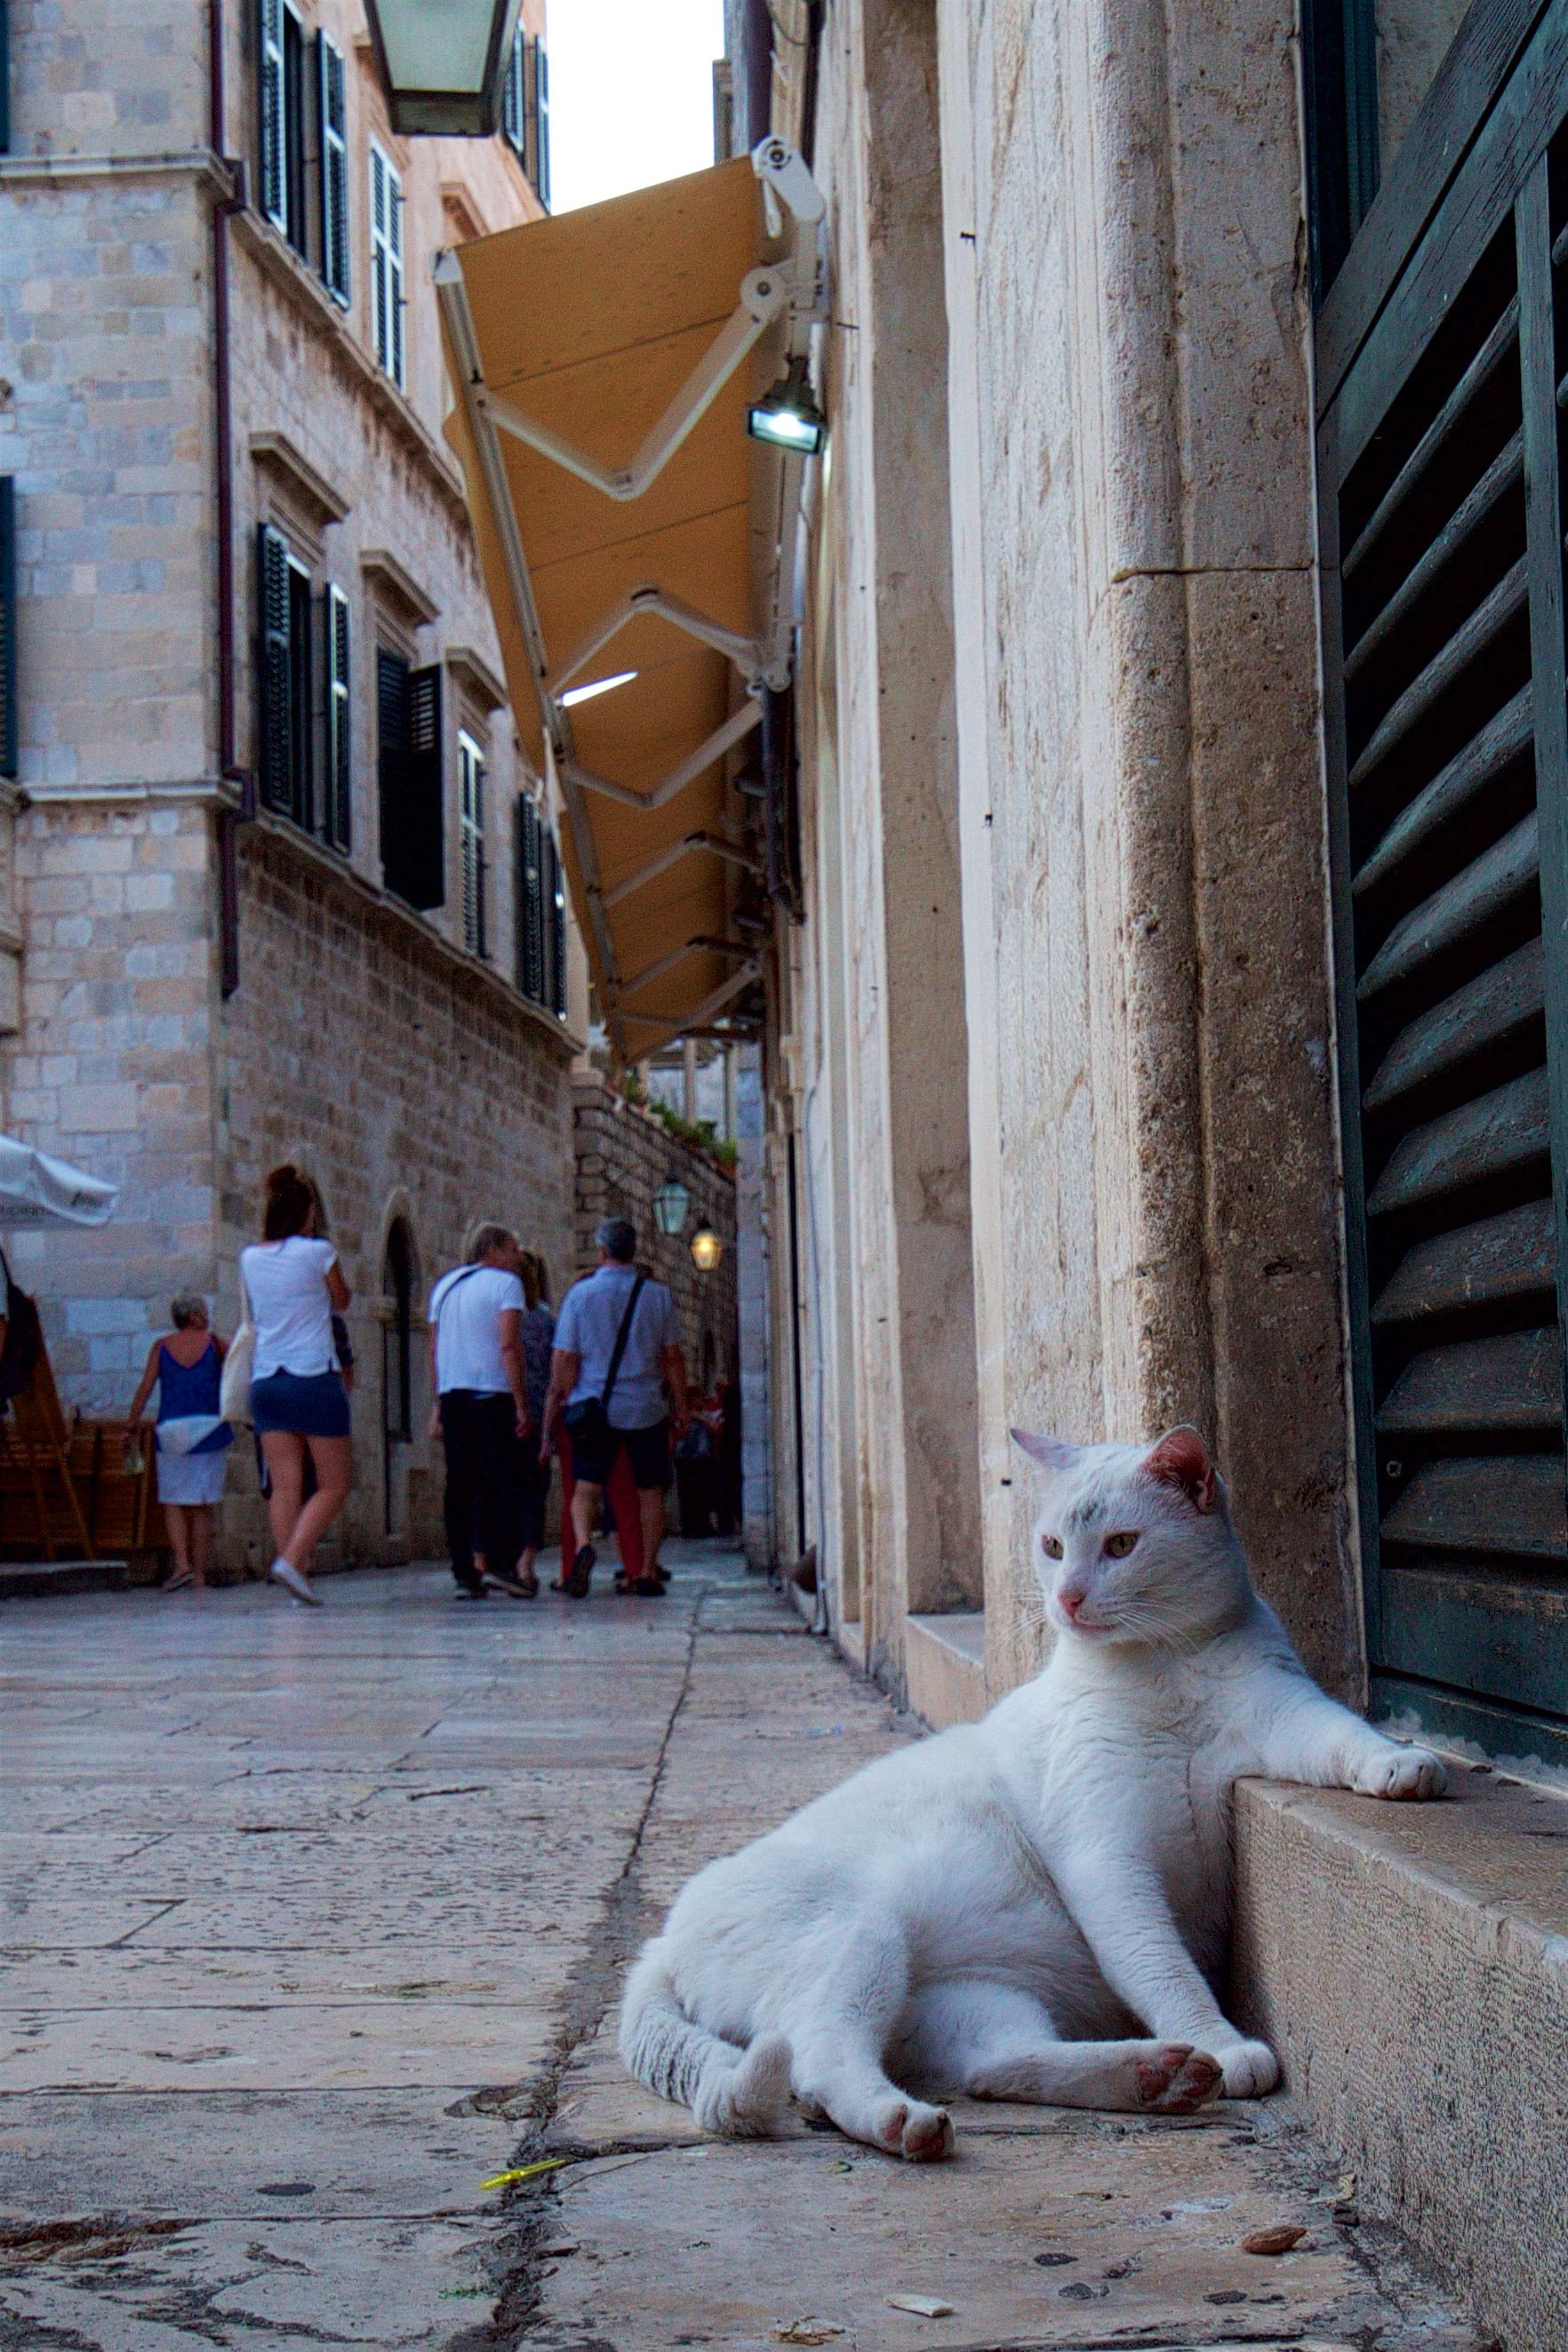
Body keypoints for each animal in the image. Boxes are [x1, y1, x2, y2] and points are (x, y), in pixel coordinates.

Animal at [619, 1424, 1446, 2161]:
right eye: (1051, 1548)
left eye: (1120, 1546)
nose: (1068, 1598)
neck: (1164, 1667)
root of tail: (659, 1942)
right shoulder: (1104, 1854)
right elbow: (1159, 1963)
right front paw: (1221, 2040)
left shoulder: (1283, 1714)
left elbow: (1342, 1739)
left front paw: (1403, 1766)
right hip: (859, 1937)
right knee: (823, 2066)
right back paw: (906, 2122)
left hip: (972, 2001)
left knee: (994, 2067)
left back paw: (1156, 2076)